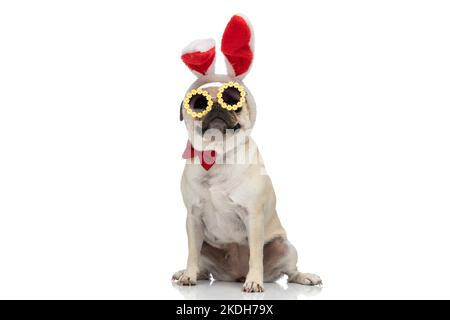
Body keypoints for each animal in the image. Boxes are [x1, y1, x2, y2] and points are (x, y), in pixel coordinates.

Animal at [171, 14, 322, 292]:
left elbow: (255, 254)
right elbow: (191, 253)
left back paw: (304, 277)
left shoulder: (253, 216)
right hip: (206, 245)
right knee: (201, 263)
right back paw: (188, 273)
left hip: (286, 247)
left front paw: (254, 281)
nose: (216, 106)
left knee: (290, 272)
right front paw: (188, 274)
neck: (217, 155)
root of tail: (234, 275)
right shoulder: (193, 218)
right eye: (197, 103)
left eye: (233, 99)